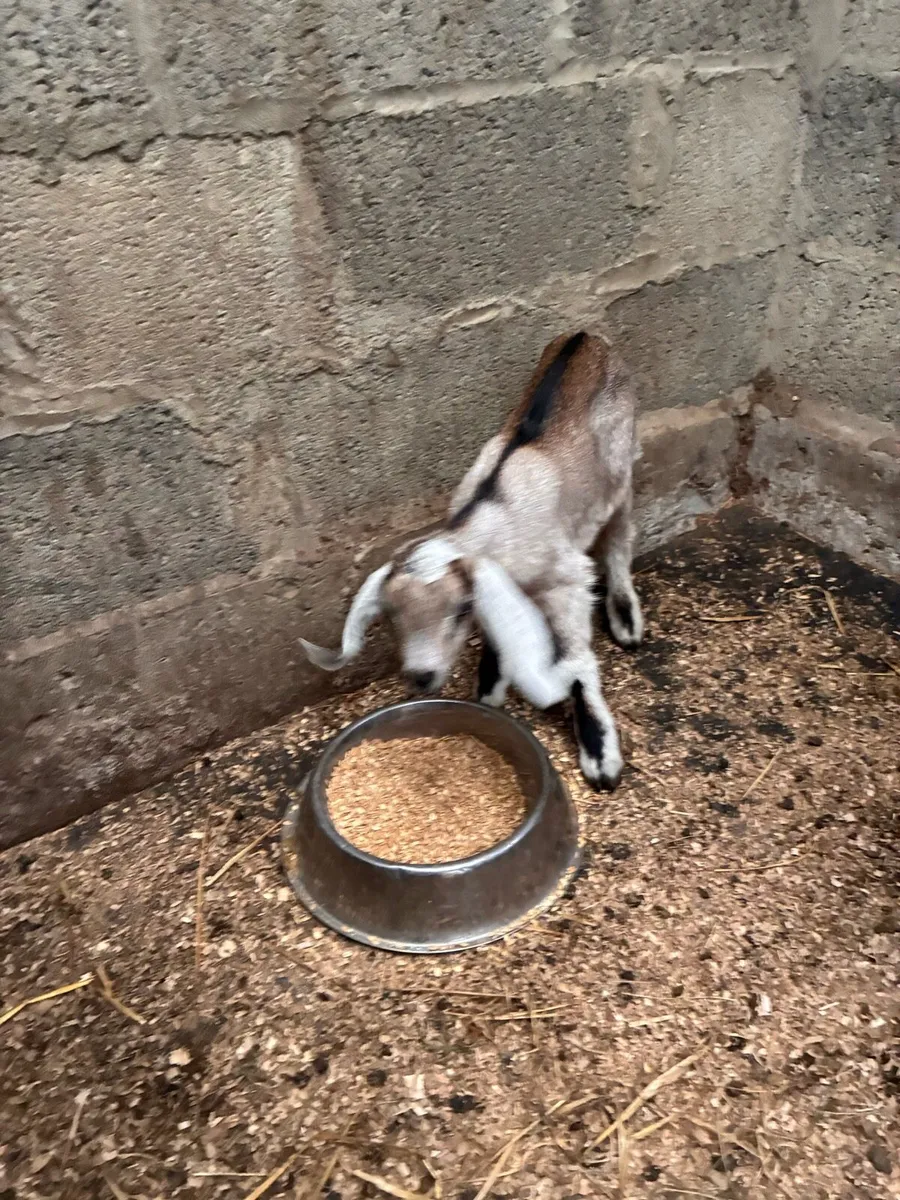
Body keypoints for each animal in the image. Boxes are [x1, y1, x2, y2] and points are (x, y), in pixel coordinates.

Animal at [300, 331, 643, 791]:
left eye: (460, 609)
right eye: (389, 615)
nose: (421, 675)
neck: (492, 515)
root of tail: (587, 336)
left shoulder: (566, 581)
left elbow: (576, 662)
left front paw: (600, 755)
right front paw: (489, 692)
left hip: (621, 467)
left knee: (619, 539)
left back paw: (625, 618)